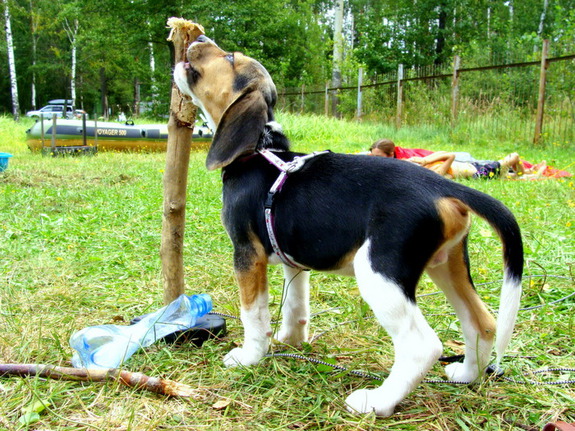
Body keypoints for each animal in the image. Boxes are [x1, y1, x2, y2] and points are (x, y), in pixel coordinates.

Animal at [173, 35, 524, 416]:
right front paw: (290, 342)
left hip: (377, 272)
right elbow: (295, 306)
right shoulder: (295, 263)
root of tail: (443, 186)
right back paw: (466, 375)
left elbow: (253, 313)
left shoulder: (247, 255)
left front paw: (250, 357)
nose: (199, 38)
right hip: (447, 264)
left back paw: (377, 401)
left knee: (422, 345)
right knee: (483, 323)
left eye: (230, 58)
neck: (260, 151)